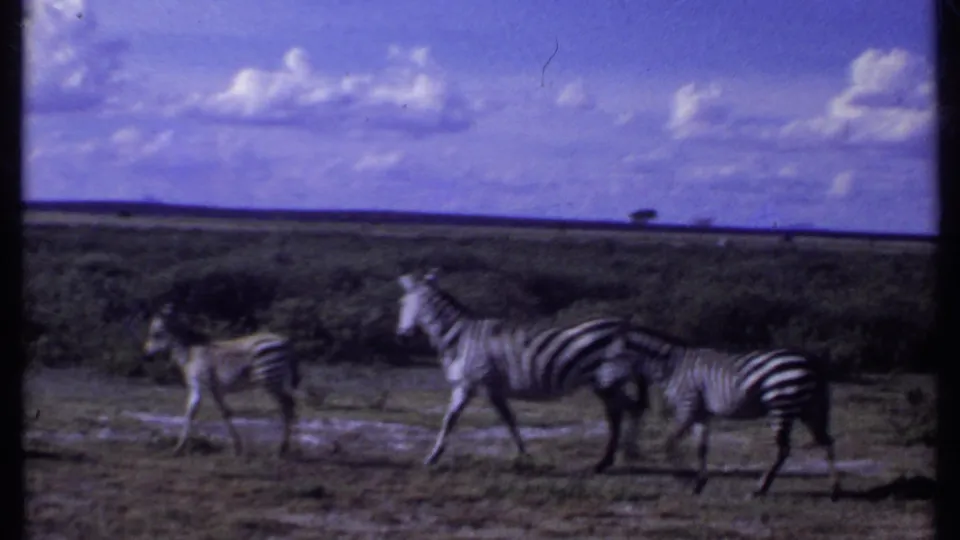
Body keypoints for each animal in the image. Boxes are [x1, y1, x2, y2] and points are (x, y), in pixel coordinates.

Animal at [140, 303, 300, 457]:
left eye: (156, 333)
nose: (146, 355)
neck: (190, 354)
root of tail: (285, 341)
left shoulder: (204, 385)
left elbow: (198, 412)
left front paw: (178, 449)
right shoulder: (210, 388)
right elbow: (218, 413)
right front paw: (237, 448)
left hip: (270, 378)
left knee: (286, 407)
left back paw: (281, 449)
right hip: (278, 380)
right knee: (290, 405)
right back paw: (285, 448)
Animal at [394, 269, 651, 473]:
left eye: (402, 303)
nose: (401, 336)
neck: (461, 339)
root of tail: (625, 327)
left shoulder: (477, 385)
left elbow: (471, 420)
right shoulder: (477, 387)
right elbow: (483, 419)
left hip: (605, 382)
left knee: (623, 412)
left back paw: (618, 456)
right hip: (606, 383)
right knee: (630, 409)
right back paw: (621, 455)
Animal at [604, 320, 841, 499]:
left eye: (613, 357)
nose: (606, 386)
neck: (673, 367)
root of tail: (811, 359)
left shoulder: (687, 406)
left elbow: (669, 443)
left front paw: (682, 478)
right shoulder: (701, 414)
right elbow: (701, 448)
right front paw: (698, 483)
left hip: (781, 404)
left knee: (783, 449)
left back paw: (760, 488)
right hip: (809, 409)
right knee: (826, 442)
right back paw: (834, 490)